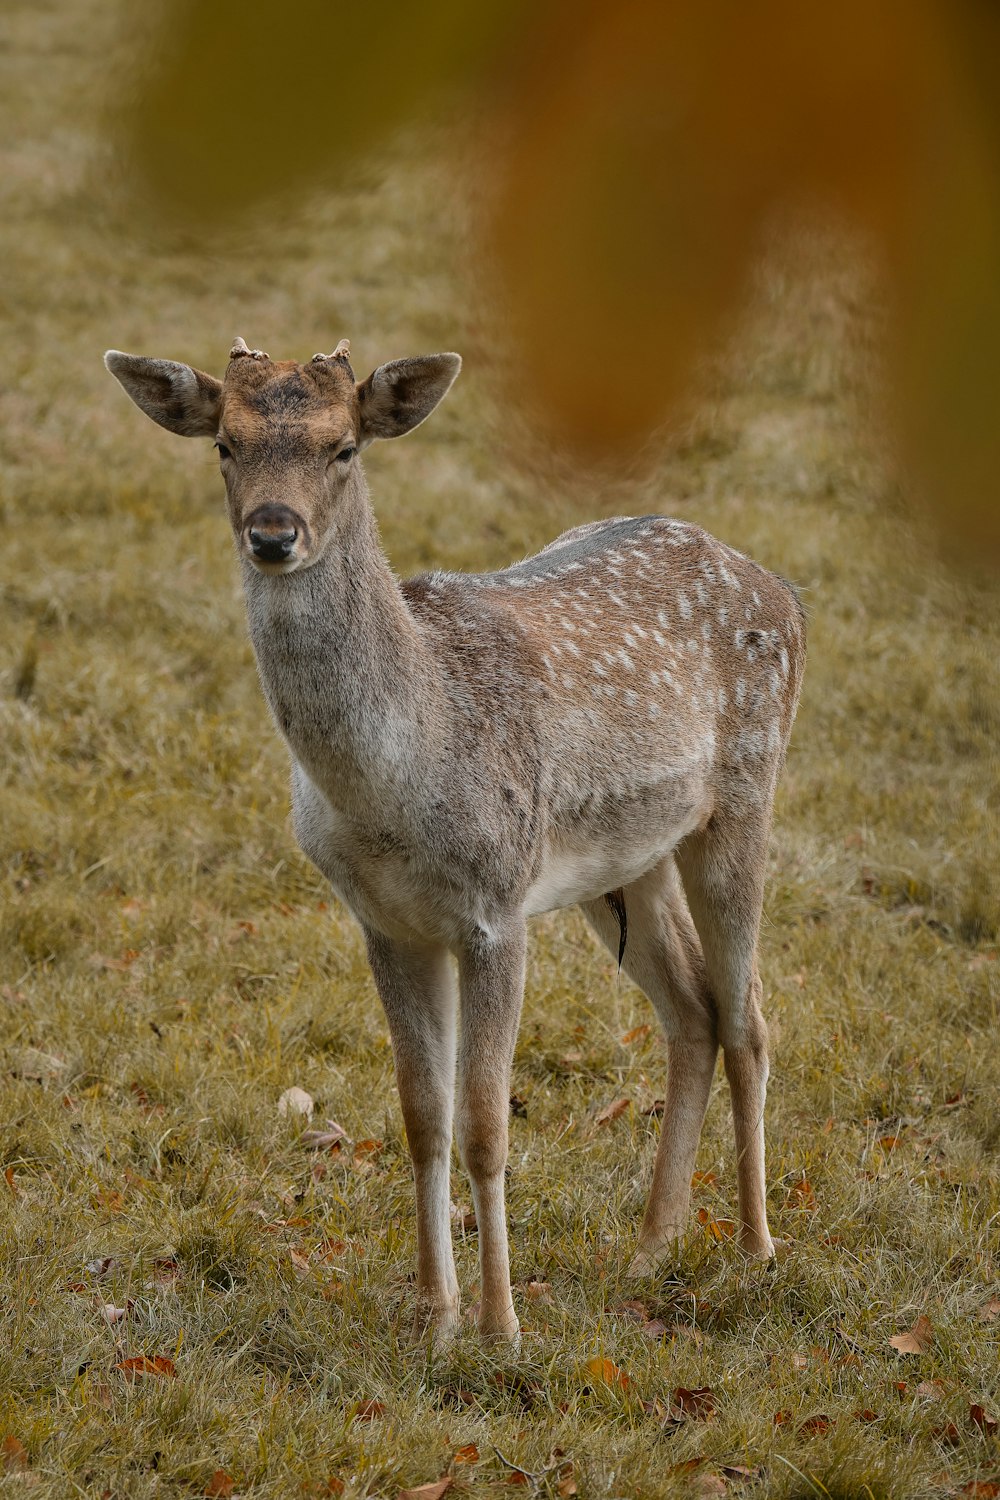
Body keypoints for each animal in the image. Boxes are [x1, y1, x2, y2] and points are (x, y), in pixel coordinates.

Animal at [103, 334, 803, 1344]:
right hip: (623, 863)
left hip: (746, 795)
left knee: (751, 1019)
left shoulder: (496, 907)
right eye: (225, 445)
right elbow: (422, 1116)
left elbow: (485, 1121)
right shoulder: (385, 921)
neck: (397, 791)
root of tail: (782, 589)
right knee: (694, 1012)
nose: (273, 533)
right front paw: (434, 1315)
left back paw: (755, 1249)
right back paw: (652, 1247)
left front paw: (501, 1326)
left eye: (344, 447)